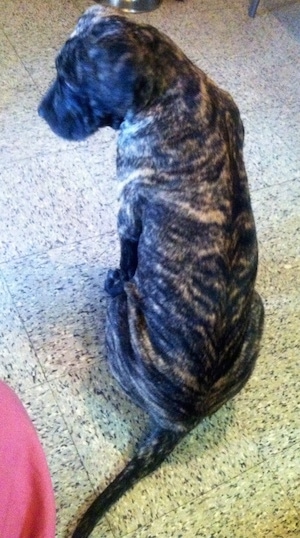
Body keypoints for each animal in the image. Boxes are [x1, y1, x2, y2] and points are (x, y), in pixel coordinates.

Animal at [38, 5, 264, 536]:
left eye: (69, 80)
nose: (40, 111)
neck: (171, 78)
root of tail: (177, 424)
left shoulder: (126, 206)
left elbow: (127, 255)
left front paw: (115, 272)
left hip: (121, 320)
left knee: (122, 293)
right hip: (259, 312)